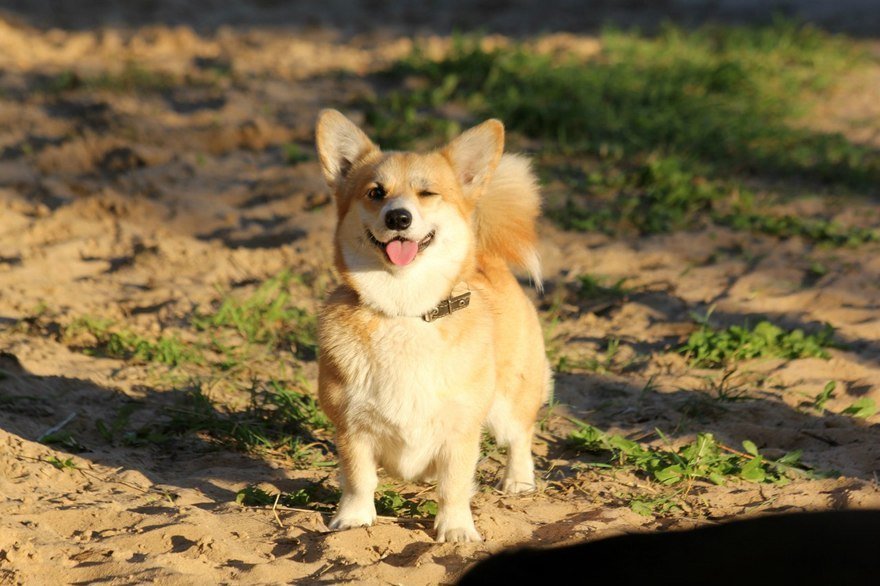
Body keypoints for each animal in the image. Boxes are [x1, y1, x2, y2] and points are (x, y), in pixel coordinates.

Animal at [314, 107, 552, 540]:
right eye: (375, 193)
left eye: (427, 193)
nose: (398, 217)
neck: (405, 310)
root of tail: (488, 258)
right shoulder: (352, 429)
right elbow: (359, 479)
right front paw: (354, 520)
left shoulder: (461, 430)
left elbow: (454, 484)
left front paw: (455, 530)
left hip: (510, 402)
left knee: (520, 437)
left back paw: (519, 481)